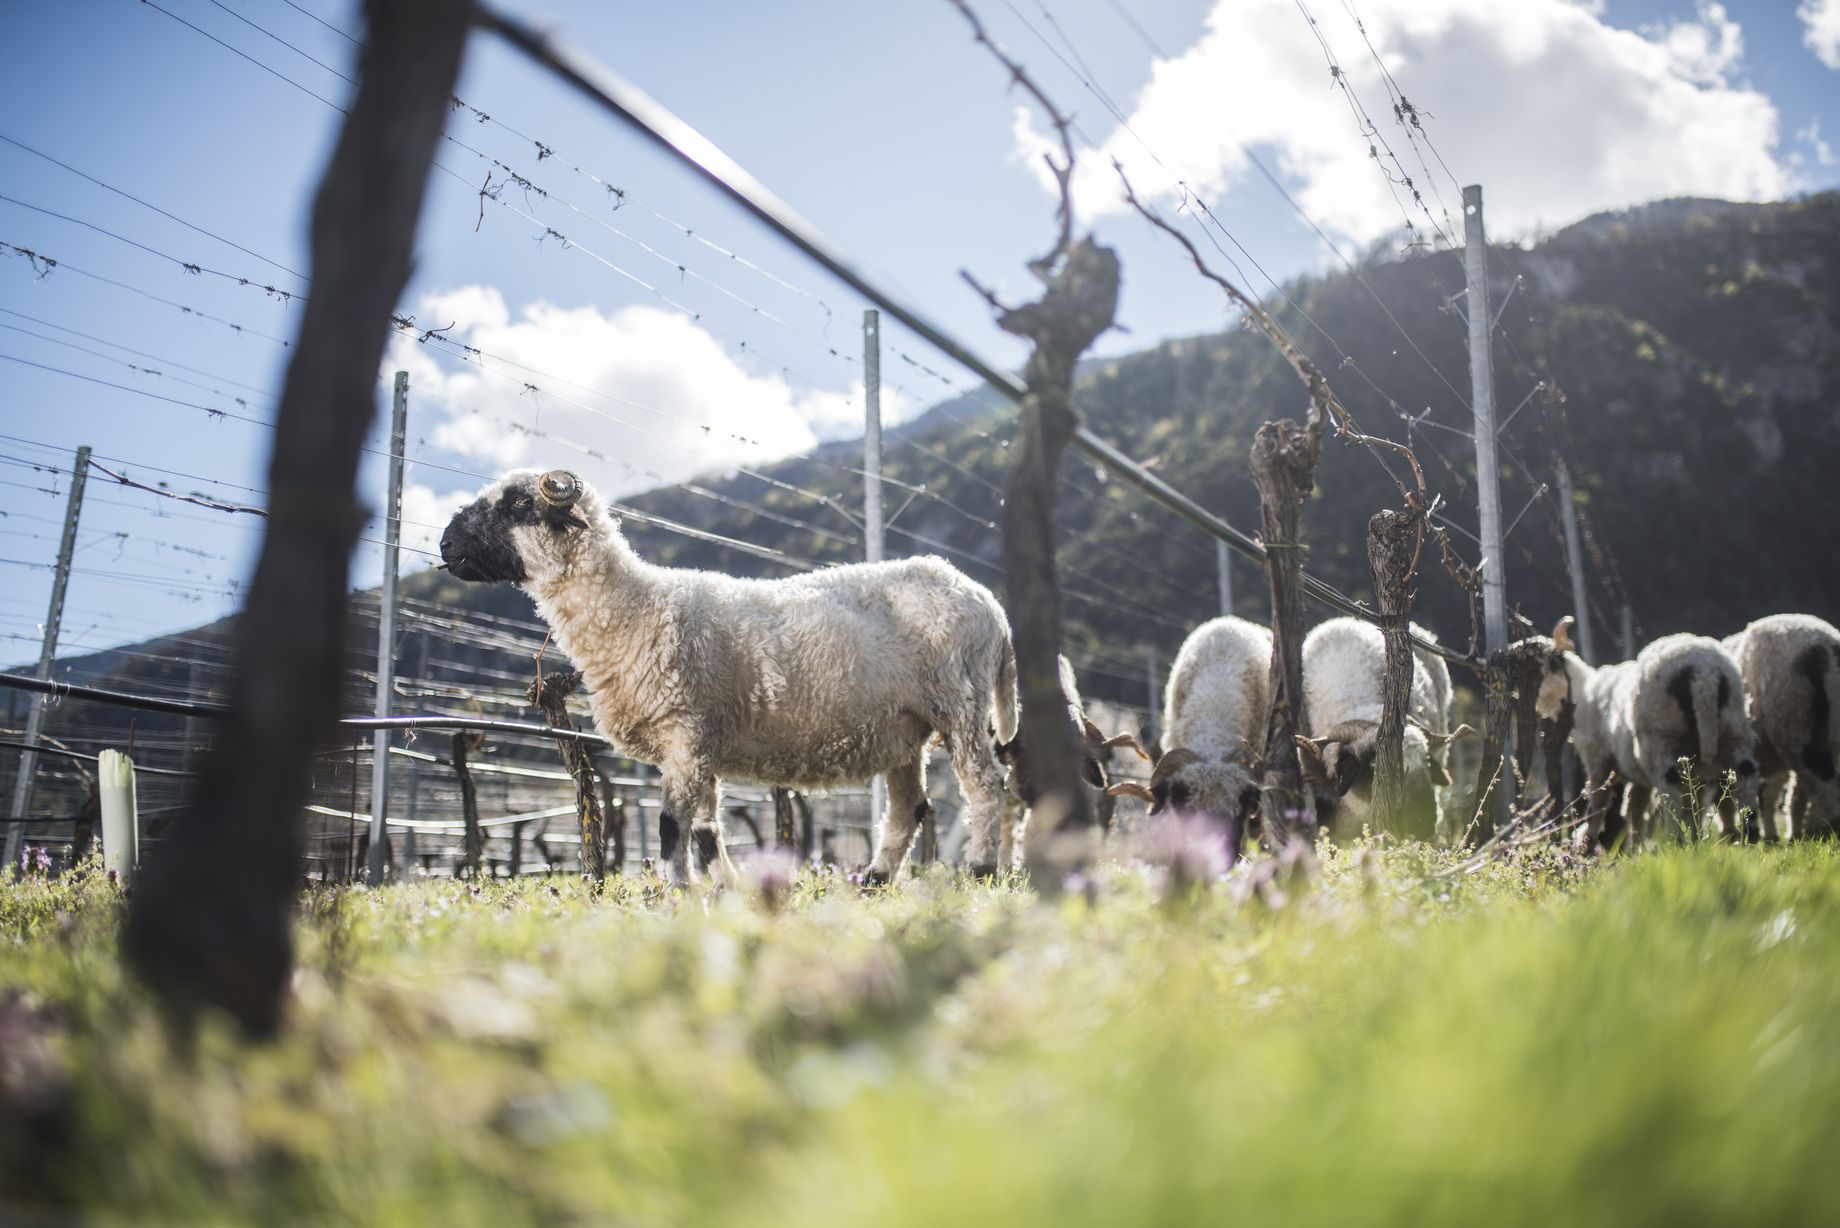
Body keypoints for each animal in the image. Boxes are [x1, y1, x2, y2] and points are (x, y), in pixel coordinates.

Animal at [441, 467, 1023, 883]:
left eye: (519, 504)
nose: (446, 545)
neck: (634, 608)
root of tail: (989, 603)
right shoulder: (701, 745)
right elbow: (704, 832)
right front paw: (723, 895)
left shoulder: (685, 729)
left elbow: (670, 828)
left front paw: (681, 896)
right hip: (907, 727)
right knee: (908, 809)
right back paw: (875, 882)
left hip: (959, 702)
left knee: (984, 785)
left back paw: (981, 871)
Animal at [1722, 618, 1840, 839]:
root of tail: (1824, 648)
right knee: (1805, 787)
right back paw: (1802, 832)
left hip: (1794, 726)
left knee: (1820, 781)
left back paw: (1822, 829)